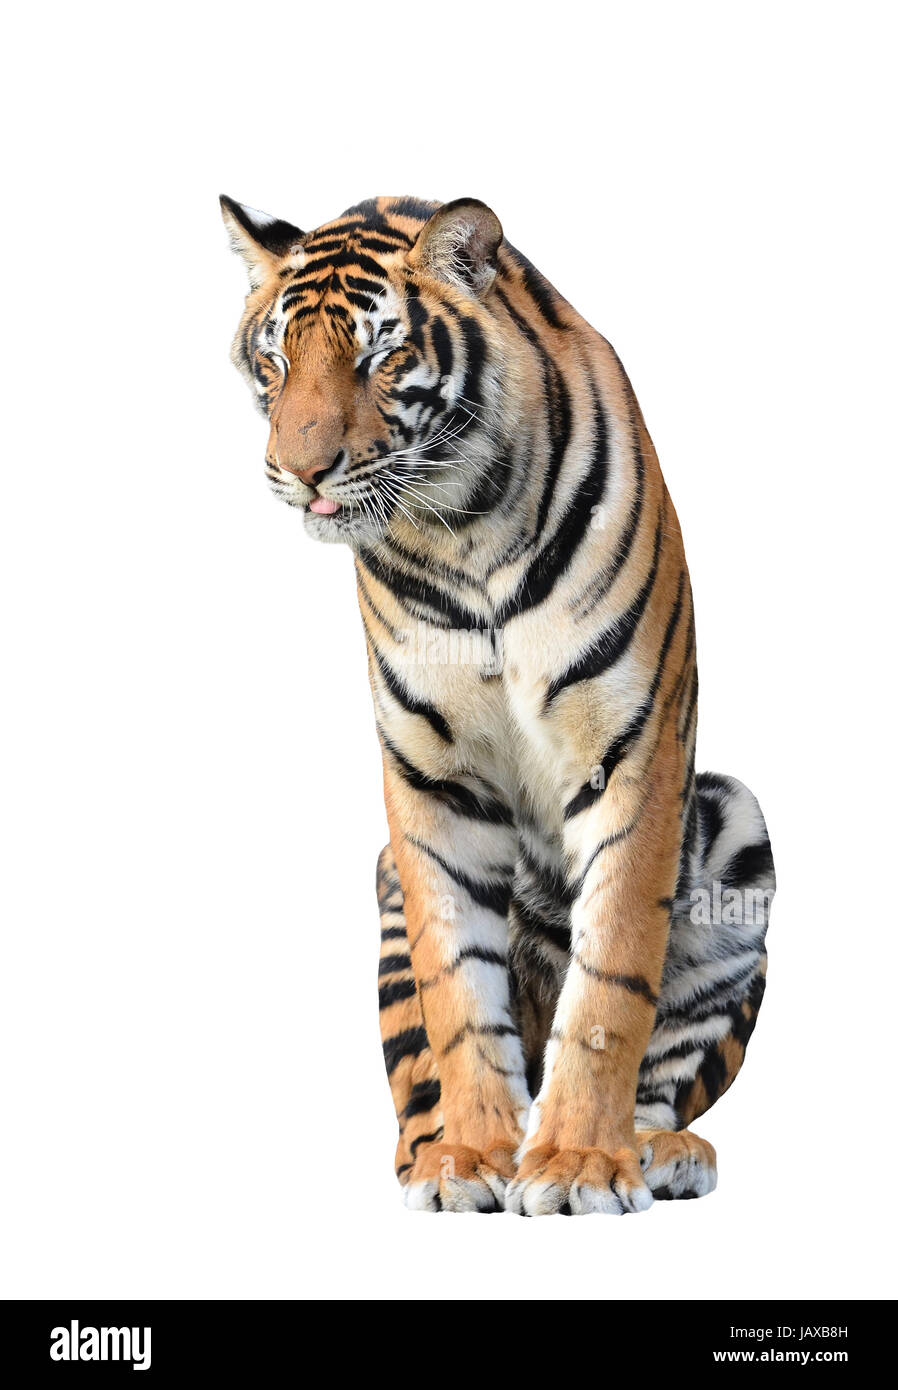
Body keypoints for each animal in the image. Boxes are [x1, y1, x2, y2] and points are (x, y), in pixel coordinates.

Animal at [221, 193, 775, 1215]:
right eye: (273, 361)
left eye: (379, 356)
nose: (300, 471)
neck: (462, 526)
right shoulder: (430, 776)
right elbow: (458, 992)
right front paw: (474, 1156)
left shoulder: (633, 753)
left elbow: (608, 986)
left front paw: (578, 1163)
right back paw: (441, 1150)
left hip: (735, 820)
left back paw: (659, 1150)